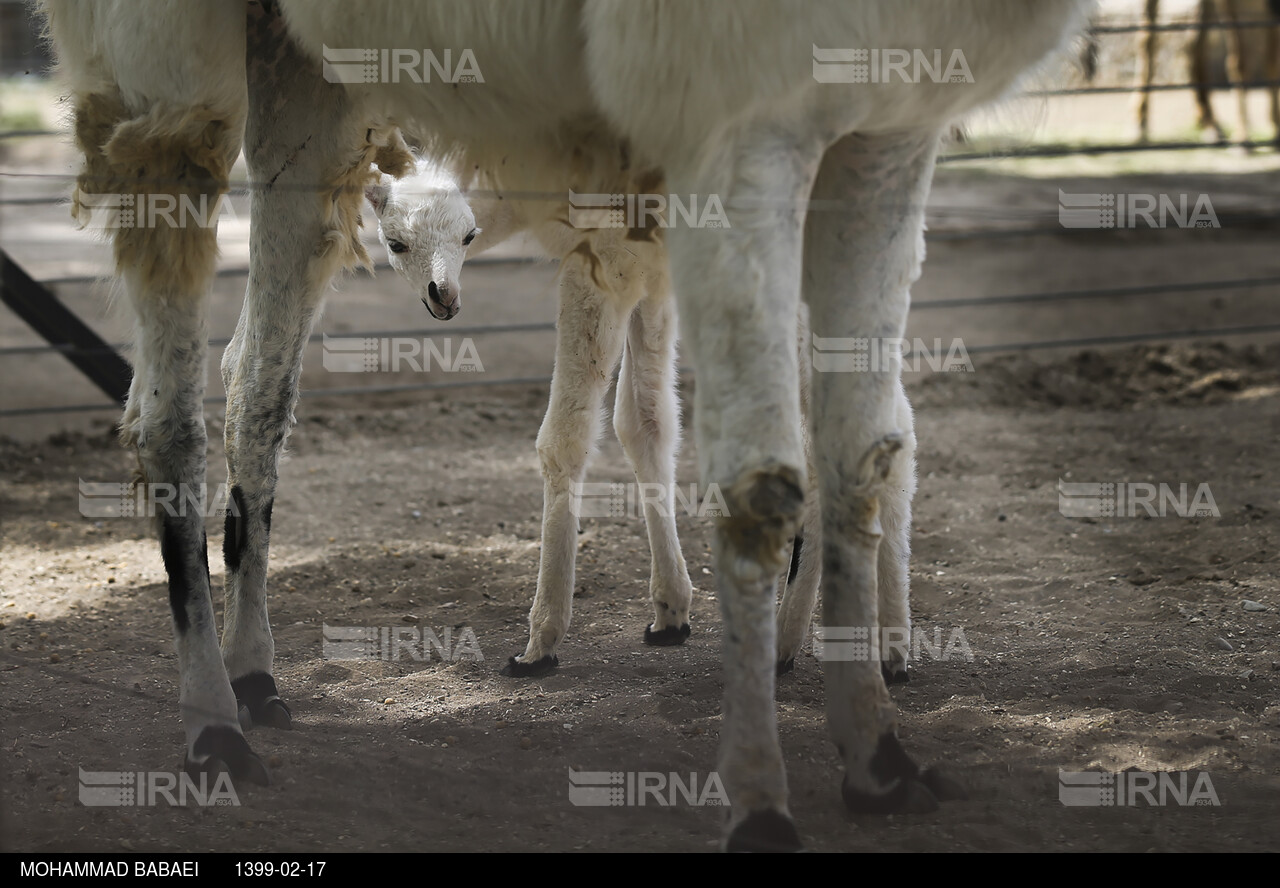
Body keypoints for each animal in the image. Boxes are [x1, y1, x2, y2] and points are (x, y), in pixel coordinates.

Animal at [42, 0, 1090, 854]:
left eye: (465, 238)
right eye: (398, 240)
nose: (440, 299)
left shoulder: (646, 232)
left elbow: (608, 432)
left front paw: (561, 634)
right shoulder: (651, 236)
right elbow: (643, 428)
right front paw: (658, 613)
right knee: (220, 386)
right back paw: (233, 705)